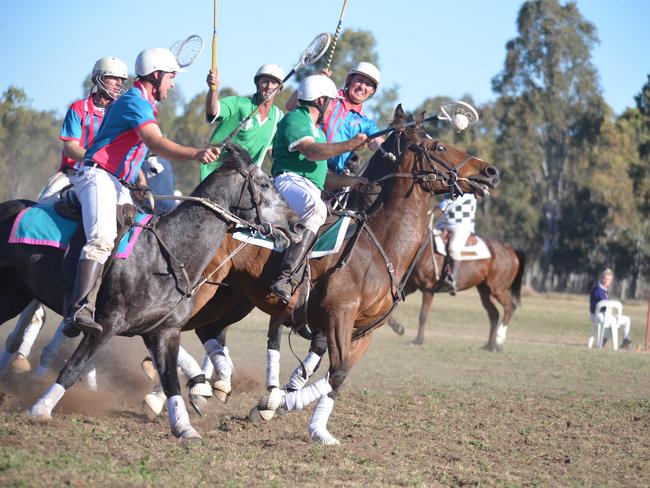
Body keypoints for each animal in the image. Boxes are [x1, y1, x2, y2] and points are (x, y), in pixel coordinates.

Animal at [0, 144, 302, 438]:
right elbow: (73, 367)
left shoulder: (163, 332)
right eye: (265, 183)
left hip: (15, 294)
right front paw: (41, 408)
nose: (297, 222)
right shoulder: (106, 324)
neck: (168, 254)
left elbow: (171, 383)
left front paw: (184, 426)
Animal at [175, 105, 498, 444]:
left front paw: (306, 421)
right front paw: (284, 403)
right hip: (204, 288)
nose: (490, 171)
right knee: (178, 324)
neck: (379, 242)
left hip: (234, 297)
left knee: (206, 329)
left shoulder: (364, 330)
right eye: (438, 146)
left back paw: (211, 384)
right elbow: (336, 371)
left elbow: (337, 376)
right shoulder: (338, 313)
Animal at [388, 229, 524, 350]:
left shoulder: (428, 289)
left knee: (509, 307)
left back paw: (499, 341)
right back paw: (489, 346)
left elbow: (423, 314)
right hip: (484, 291)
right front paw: (397, 327)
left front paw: (418, 340)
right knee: (494, 314)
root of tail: (510, 249)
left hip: (498, 289)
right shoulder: (411, 287)